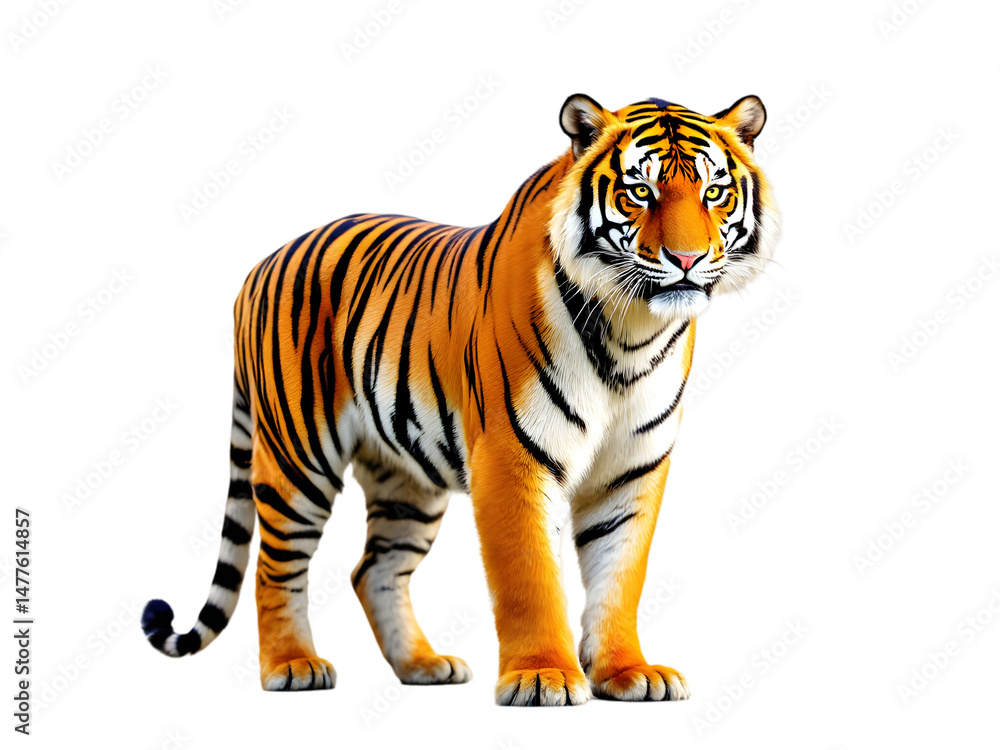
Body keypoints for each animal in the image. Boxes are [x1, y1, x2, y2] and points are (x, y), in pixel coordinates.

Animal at [142, 93, 780, 706]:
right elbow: (528, 576)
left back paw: (422, 665)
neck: (632, 331)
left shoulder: (632, 468)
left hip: (406, 480)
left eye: (714, 192)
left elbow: (620, 576)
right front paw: (542, 677)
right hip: (297, 456)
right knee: (274, 567)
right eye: (640, 191)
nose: (687, 259)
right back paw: (292, 666)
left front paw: (629, 673)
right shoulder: (512, 456)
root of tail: (260, 265)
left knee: (372, 569)